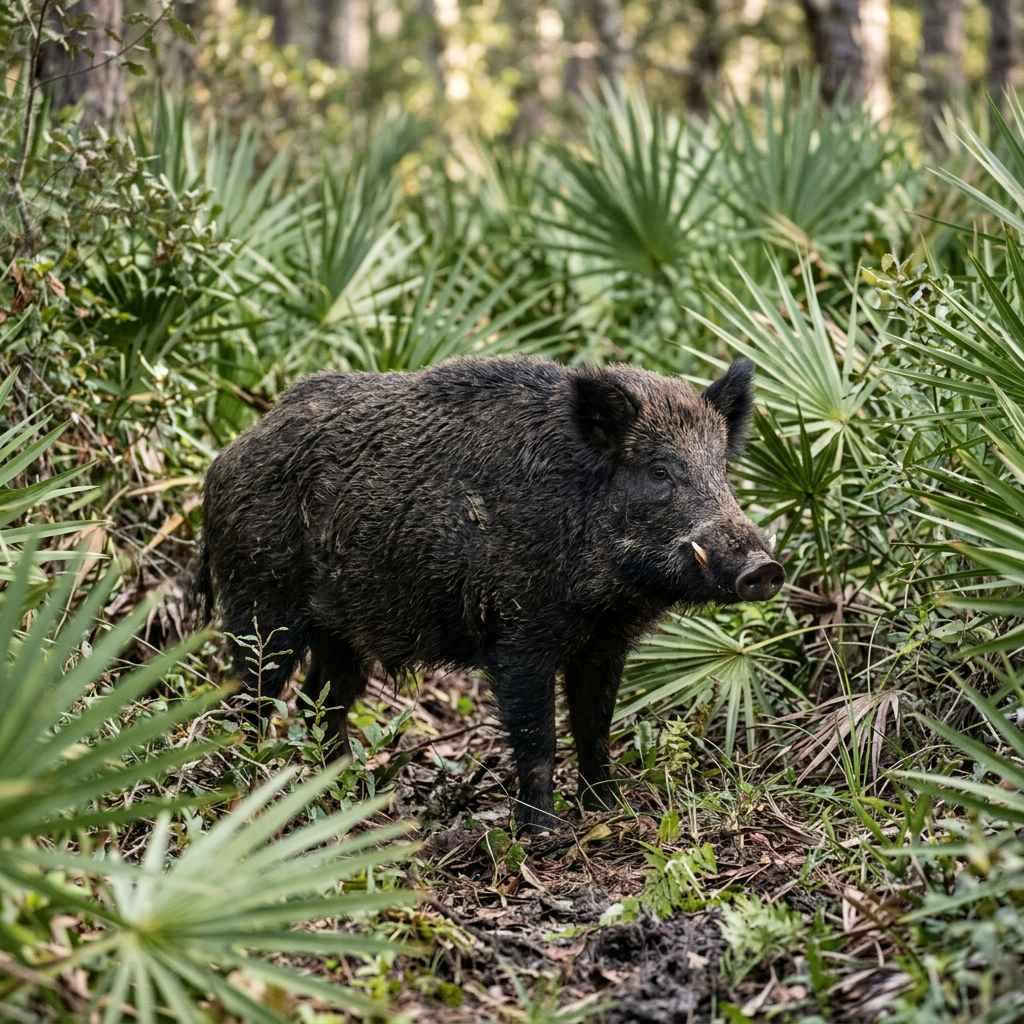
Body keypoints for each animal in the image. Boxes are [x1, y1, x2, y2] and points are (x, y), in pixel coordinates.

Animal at [191, 356, 783, 832]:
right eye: (659, 470)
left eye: (720, 469)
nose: (765, 568)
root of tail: (222, 462)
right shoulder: (519, 634)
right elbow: (538, 734)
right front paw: (542, 830)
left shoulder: (604, 644)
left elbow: (595, 727)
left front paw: (609, 811)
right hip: (260, 600)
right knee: (251, 696)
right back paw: (250, 786)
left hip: (342, 628)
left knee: (323, 701)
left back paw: (349, 798)